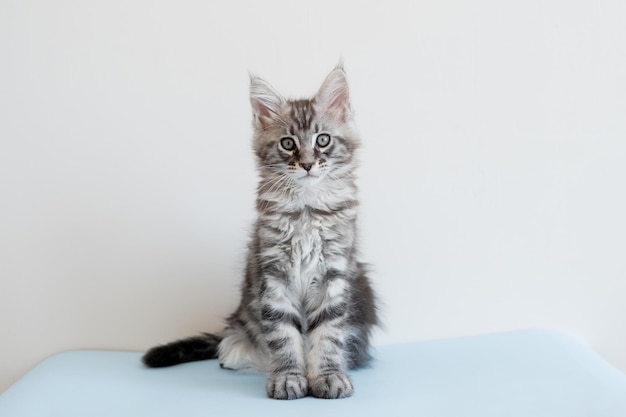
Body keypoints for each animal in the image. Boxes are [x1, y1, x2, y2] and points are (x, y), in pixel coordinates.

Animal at [143, 66, 376, 400]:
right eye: (288, 144)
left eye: (323, 140)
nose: (307, 164)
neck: (305, 209)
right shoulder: (273, 272)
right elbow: (283, 335)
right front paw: (288, 379)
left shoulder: (334, 272)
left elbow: (328, 334)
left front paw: (328, 377)